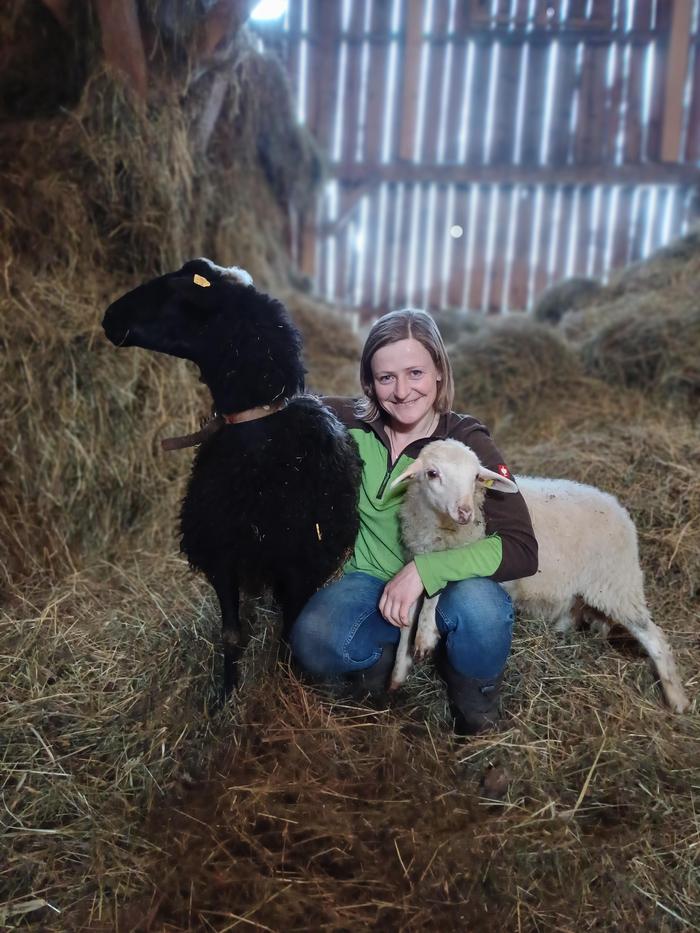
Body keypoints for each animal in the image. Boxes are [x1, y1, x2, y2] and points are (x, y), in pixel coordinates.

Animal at [104, 258, 360, 696]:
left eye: (174, 292)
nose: (109, 318)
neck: (258, 431)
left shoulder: (301, 565)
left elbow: (289, 637)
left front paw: (281, 686)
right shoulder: (222, 553)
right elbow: (231, 634)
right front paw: (226, 695)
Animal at [388, 438, 688, 712]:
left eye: (475, 477)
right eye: (432, 473)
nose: (465, 512)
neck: (439, 529)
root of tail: (621, 511)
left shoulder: (461, 553)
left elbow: (437, 588)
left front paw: (426, 635)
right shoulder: (417, 557)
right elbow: (405, 621)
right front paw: (398, 671)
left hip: (617, 584)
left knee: (656, 639)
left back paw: (677, 700)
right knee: (574, 613)